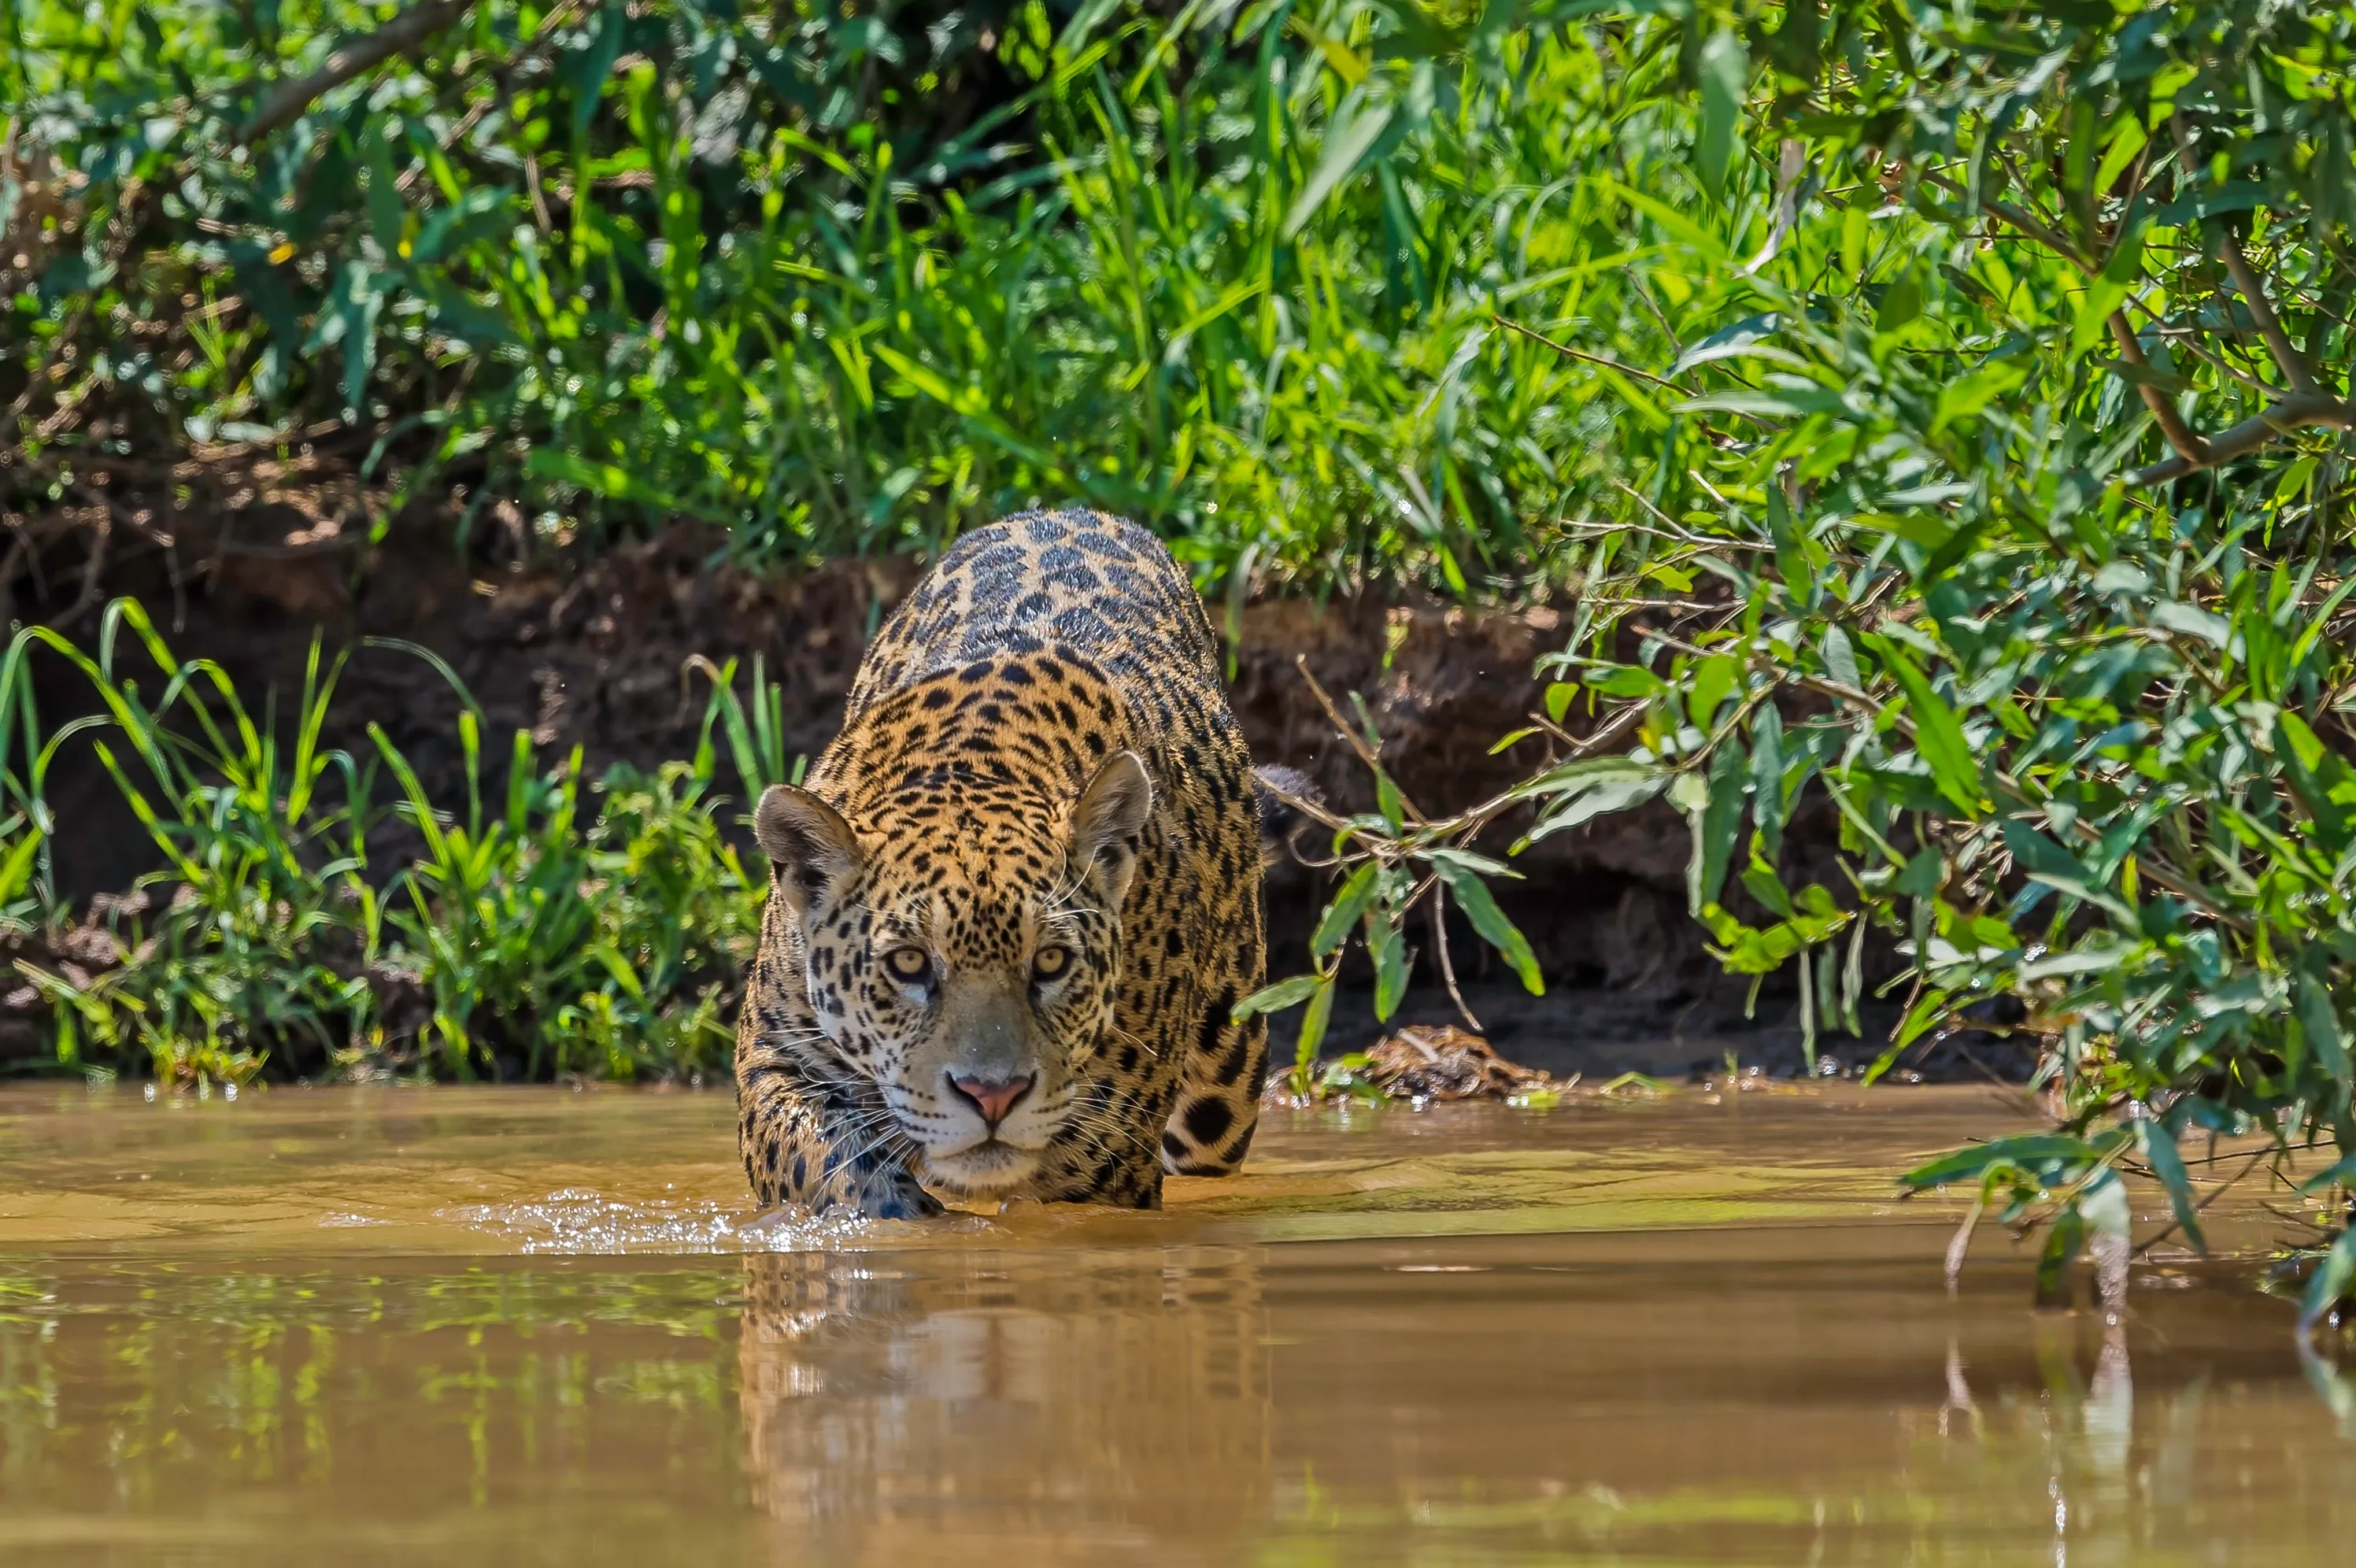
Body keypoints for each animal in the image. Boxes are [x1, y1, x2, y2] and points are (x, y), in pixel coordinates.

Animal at [734, 508, 1276, 1218]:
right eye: (907, 964)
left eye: (1051, 962)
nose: (991, 1095)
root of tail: (1071, 510)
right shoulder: (775, 1057)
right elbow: (826, 1160)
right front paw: (905, 1218)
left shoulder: (1106, 1155)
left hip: (1225, 1079)